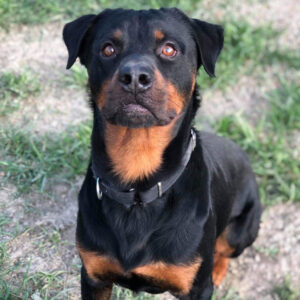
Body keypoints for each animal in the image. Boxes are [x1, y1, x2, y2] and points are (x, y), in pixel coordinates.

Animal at [63, 7, 262, 300]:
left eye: (169, 49)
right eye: (108, 49)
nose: (135, 77)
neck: (137, 190)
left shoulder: (196, 288)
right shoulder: (93, 276)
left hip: (240, 231)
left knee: (225, 250)